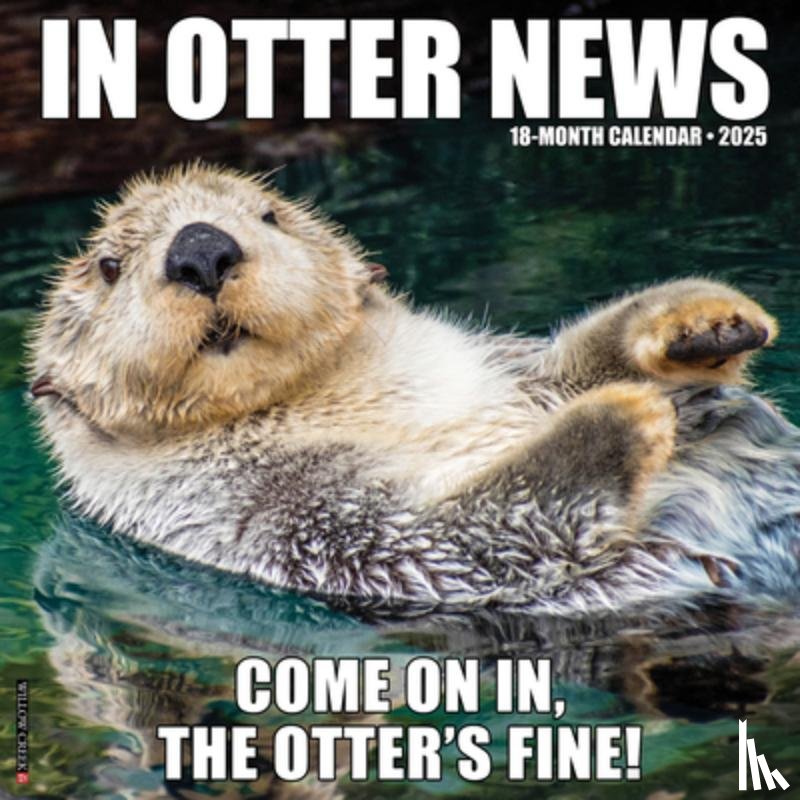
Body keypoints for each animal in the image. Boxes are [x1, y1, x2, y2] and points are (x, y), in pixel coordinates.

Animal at [29, 163, 800, 618]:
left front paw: (704, 322)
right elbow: (469, 532)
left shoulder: (512, 378)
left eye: (269, 215)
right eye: (109, 265)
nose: (201, 249)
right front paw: (622, 414)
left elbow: (577, 360)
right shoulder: (289, 522)